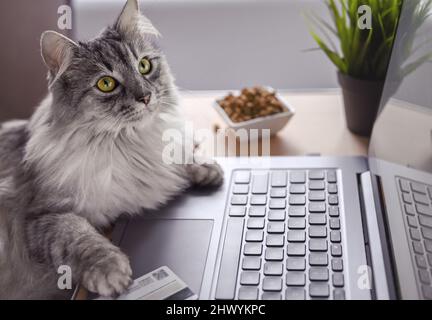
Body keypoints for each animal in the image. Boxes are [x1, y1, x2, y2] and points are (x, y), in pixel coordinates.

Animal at [0, 0, 223, 300]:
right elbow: (79, 235)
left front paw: (204, 166)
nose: (146, 96)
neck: (128, 144)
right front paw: (110, 270)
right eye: (106, 84)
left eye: (144, 66)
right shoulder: (41, 214)